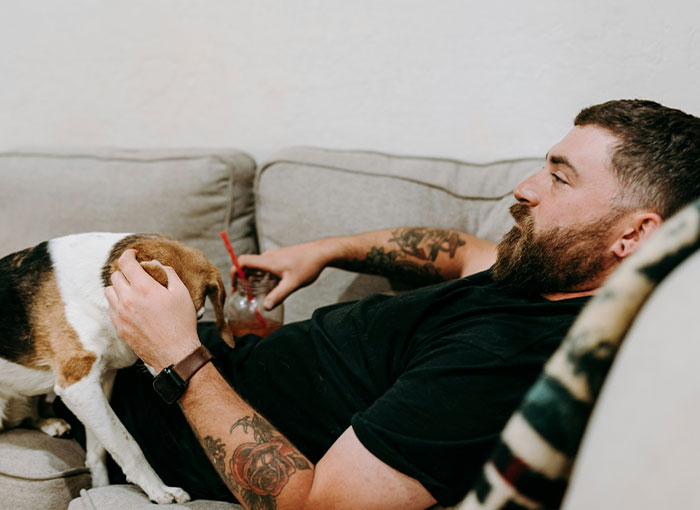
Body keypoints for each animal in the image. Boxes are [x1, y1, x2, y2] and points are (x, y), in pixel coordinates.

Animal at [0, 233, 235, 504]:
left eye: (197, 319)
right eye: (149, 319)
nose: (173, 370)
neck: (99, 289)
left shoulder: (102, 381)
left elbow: (100, 450)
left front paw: (99, 487)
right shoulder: (78, 384)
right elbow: (128, 445)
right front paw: (160, 490)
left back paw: (49, 423)